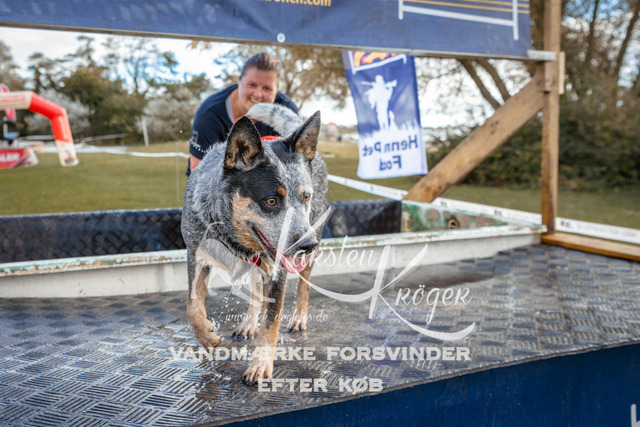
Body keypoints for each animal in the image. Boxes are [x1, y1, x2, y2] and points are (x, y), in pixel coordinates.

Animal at [181, 103, 328, 384]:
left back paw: (299, 318)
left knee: (304, 284)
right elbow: (193, 305)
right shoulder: (195, 253)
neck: (233, 236)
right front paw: (206, 336)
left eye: (305, 197)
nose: (308, 244)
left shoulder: (279, 270)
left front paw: (260, 365)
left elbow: (271, 321)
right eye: (271, 201)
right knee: (255, 290)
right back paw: (248, 323)